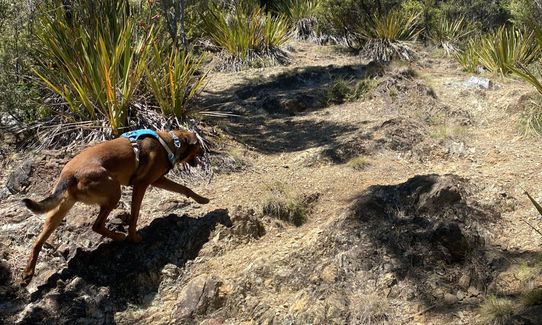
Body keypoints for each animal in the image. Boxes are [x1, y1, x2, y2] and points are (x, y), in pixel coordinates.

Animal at [19, 128, 210, 284]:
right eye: (199, 146)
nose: (205, 151)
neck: (170, 143)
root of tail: (69, 174)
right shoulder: (141, 184)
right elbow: (134, 214)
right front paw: (133, 237)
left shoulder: (158, 180)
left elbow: (183, 188)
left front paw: (201, 199)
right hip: (114, 192)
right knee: (97, 225)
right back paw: (119, 236)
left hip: (60, 209)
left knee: (37, 241)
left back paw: (28, 273)